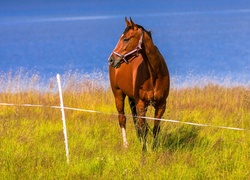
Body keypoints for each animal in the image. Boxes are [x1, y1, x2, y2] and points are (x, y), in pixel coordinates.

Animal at [108, 17, 170, 150]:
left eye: (126, 39)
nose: (111, 59)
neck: (154, 74)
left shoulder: (161, 105)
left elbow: (155, 128)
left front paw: (153, 148)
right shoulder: (141, 104)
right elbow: (143, 129)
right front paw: (144, 151)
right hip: (118, 95)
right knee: (122, 118)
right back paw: (126, 145)